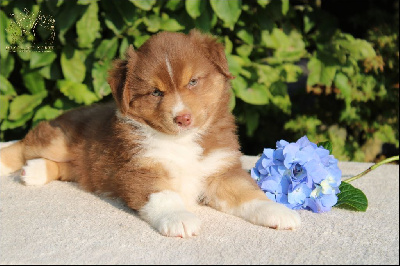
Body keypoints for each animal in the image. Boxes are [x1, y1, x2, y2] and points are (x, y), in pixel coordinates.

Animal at [0, 29, 300, 237]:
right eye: (156, 92)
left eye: (193, 81)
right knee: (23, 144)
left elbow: (248, 193)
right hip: (59, 139)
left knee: (68, 168)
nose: (183, 118)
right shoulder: (140, 170)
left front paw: (278, 212)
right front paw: (180, 219)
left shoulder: (220, 170)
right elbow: (164, 196)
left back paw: (35, 171)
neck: (181, 141)